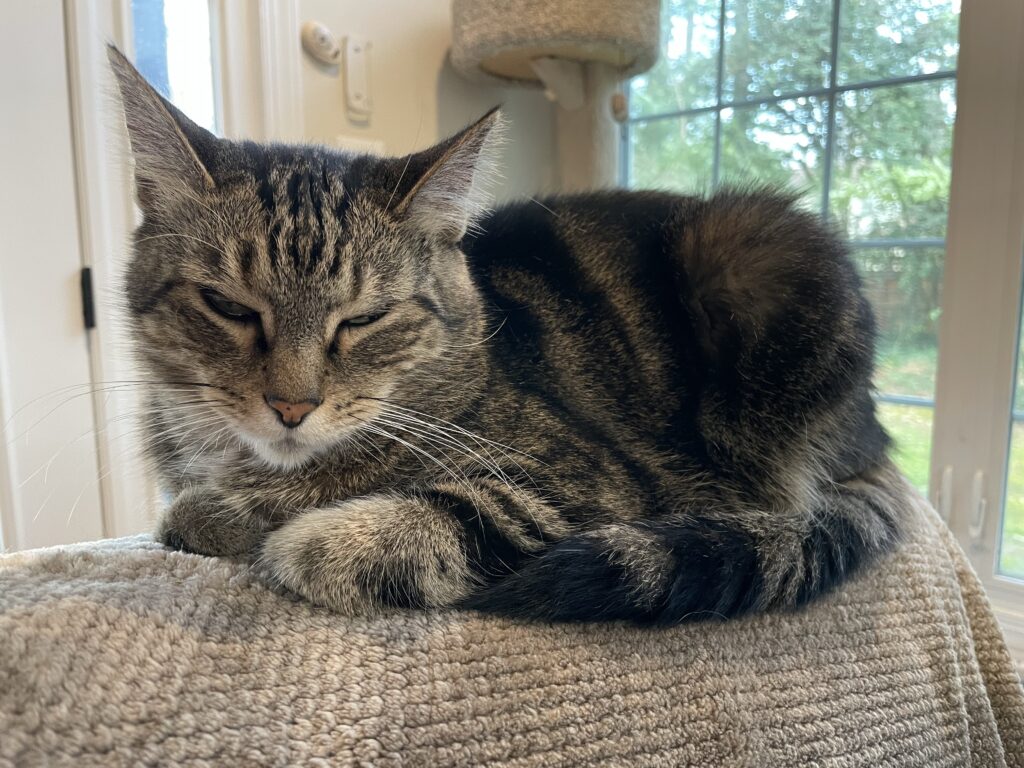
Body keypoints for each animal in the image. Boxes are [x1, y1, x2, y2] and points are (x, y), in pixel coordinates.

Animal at [108, 46, 901, 626]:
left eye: (365, 319)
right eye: (227, 307)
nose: (291, 407)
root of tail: (874, 432)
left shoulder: (598, 485)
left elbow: (432, 521)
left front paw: (295, 533)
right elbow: (185, 512)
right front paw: (225, 511)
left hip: (763, 265)